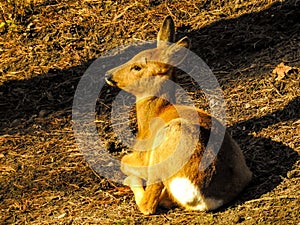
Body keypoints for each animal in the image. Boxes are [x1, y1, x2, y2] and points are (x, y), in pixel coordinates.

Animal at [104, 16, 252, 216]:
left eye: (137, 67)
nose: (108, 74)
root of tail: (207, 198)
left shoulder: (142, 157)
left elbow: (124, 161)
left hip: (164, 147)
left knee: (149, 204)